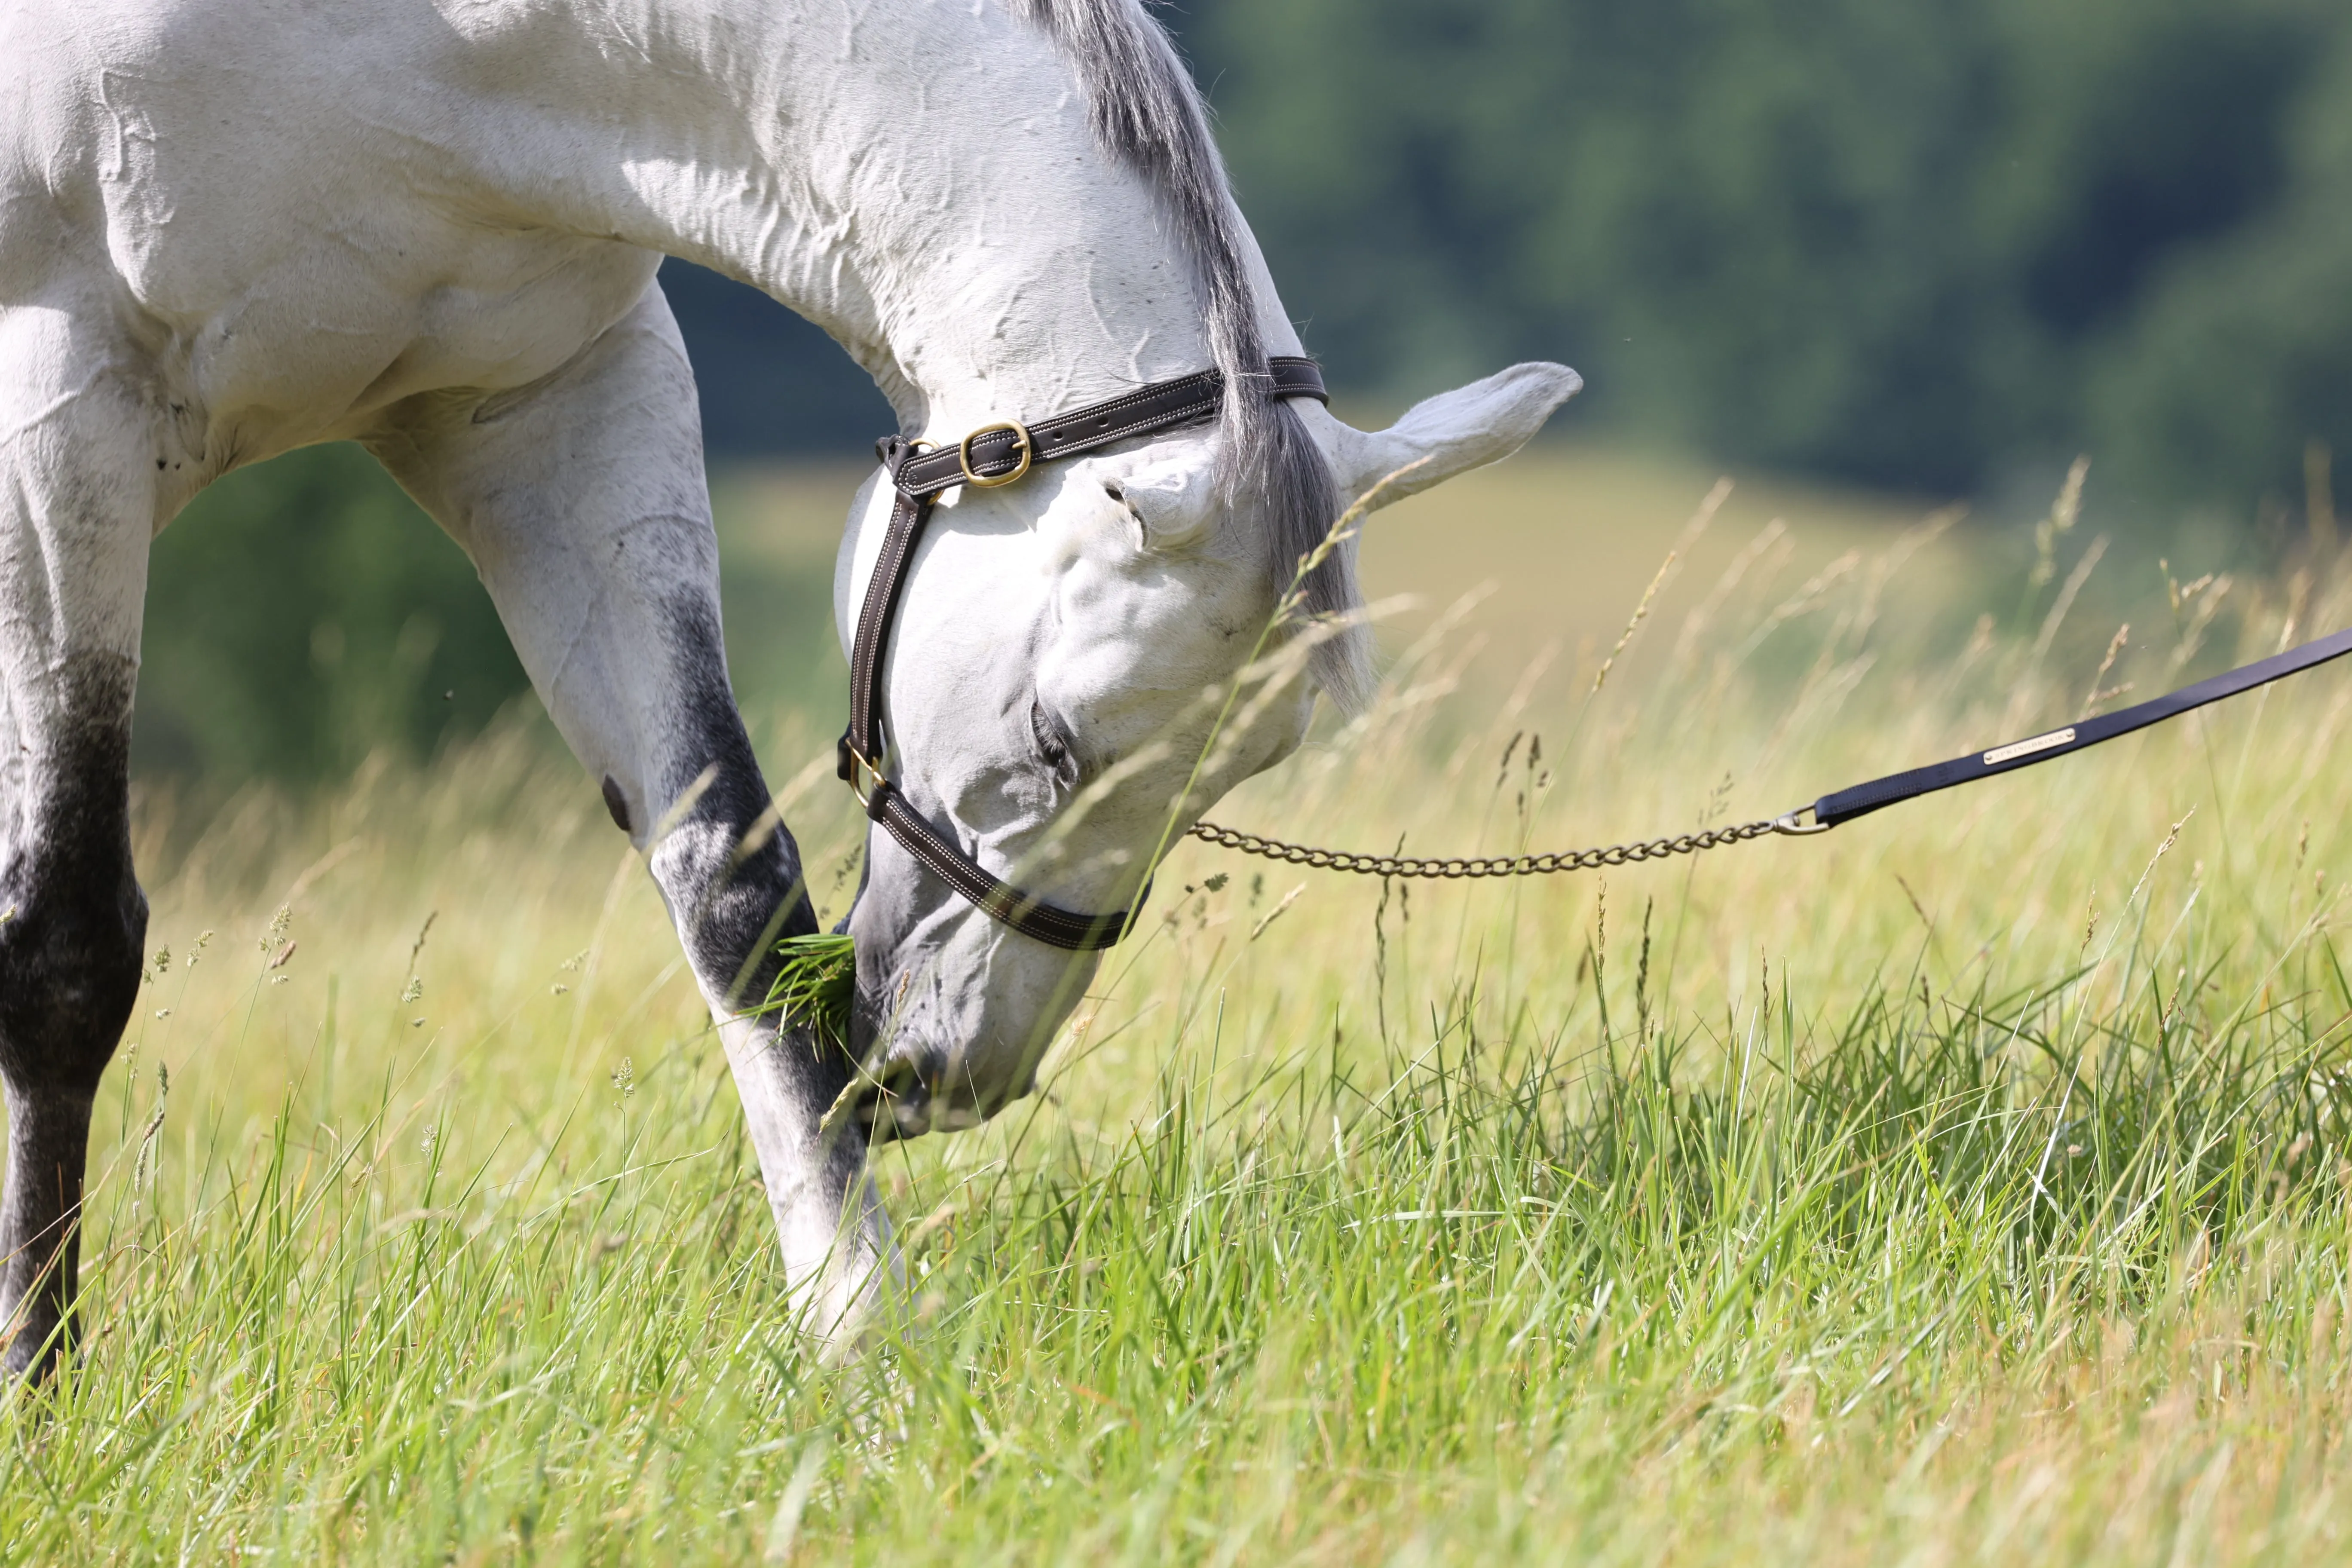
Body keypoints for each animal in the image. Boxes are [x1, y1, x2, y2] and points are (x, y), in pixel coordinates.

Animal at [4, 0, 1580, 1373]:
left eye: (1243, 767)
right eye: (1055, 742)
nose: (951, 1069)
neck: (428, 52)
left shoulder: (556, 402)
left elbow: (734, 893)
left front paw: (859, 1338)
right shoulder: (55, 404)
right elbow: (65, 944)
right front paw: (43, 1377)